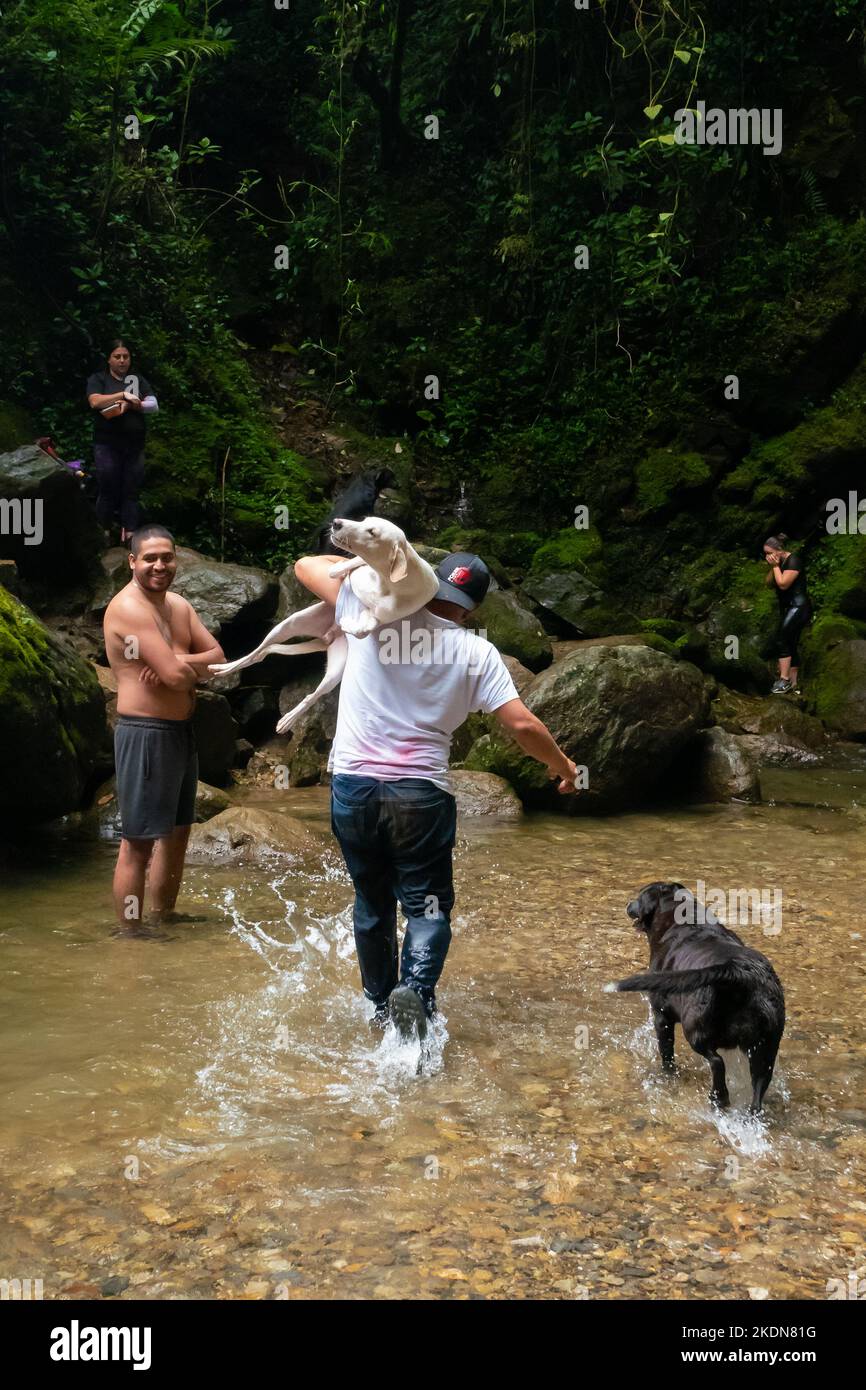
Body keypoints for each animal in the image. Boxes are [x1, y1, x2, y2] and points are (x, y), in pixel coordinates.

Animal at [207, 519, 439, 733]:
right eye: (364, 520)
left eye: (372, 532)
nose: (336, 522)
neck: (385, 582)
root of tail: (326, 638)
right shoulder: (343, 569)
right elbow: (341, 569)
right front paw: (349, 569)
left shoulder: (383, 615)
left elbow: (364, 628)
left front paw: (350, 623)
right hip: (287, 625)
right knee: (256, 652)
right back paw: (225, 667)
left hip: (335, 672)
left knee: (310, 695)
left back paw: (288, 719)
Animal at [608, 884, 783, 1112]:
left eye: (639, 897)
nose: (628, 904)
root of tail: (737, 971)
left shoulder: (661, 1016)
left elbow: (666, 1053)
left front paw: (667, 1074)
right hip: (768, 1042)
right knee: (759, 1083)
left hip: (695, 1028)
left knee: (716, 1062)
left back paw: (719, 1097)